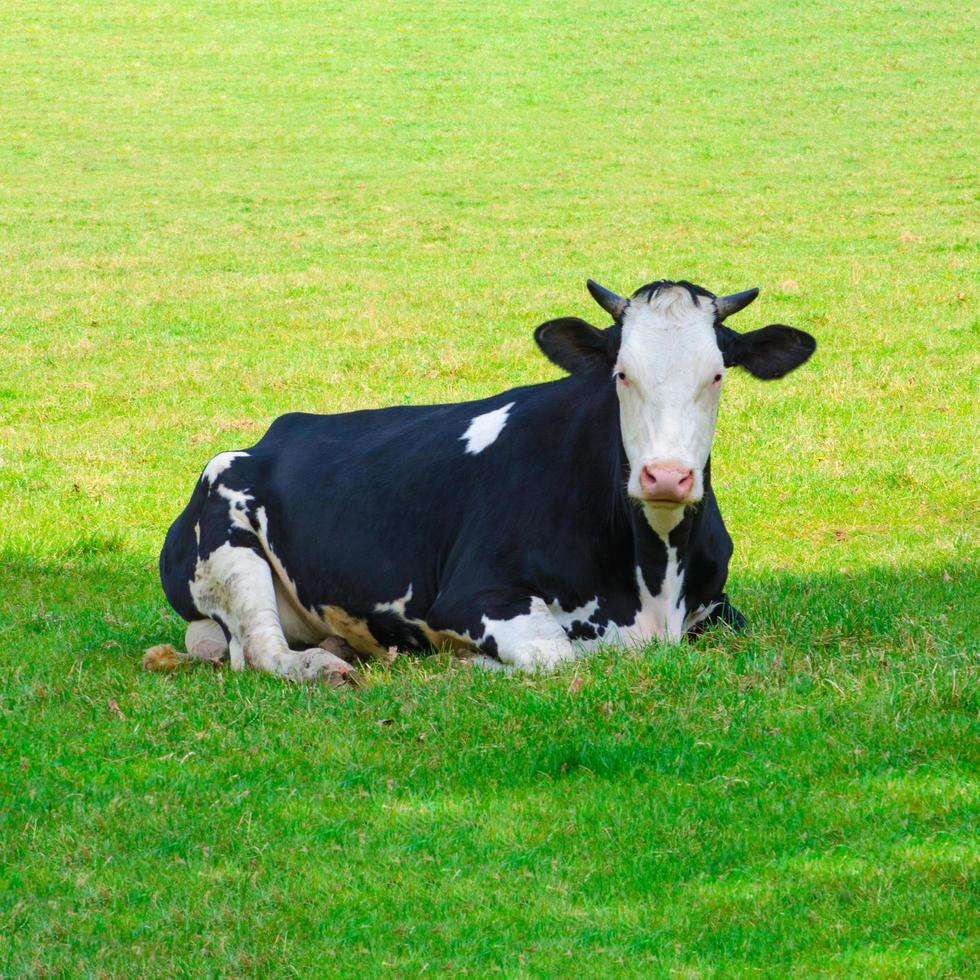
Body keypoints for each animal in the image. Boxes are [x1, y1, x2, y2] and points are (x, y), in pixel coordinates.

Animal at [157, 280, 820, 684]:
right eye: (622, 373)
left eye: (717, 375)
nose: (666, 476)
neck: (655, 580)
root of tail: (278, 431)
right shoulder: (472, 596)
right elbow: (559, 656)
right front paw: (467, 664)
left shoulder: (719, 607)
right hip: (227, 537)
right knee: (262, 650)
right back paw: (324, 667)